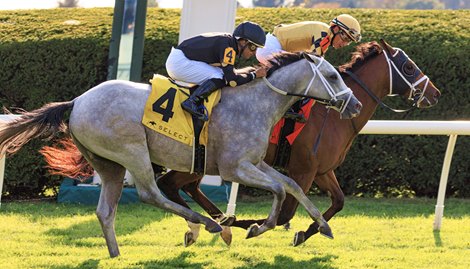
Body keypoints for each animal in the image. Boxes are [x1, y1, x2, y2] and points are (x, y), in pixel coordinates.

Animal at [0, 51, 364, 255]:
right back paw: (210, 224)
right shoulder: (234, 168)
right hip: (132, 151)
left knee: (106, 211)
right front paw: (258, 227)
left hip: (108, 164)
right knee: (152, 194)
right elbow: (278, 189)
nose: (356, 105)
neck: (255, 103)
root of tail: (76, 102)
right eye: (332, 76)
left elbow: (293, 185)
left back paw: (117, 254)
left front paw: (322, 227)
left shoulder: (256, 161)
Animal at [148, 38, 440, 246]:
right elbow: (286, 214)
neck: (332, 116)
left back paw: (213, 224)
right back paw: (214, 225)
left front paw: (308, 231)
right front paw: (250, 224)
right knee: (170, 183)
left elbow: (338, 201)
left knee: (180, 186)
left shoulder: (322, 170)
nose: (435, 94)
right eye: (409, 67)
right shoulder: (304, 169)